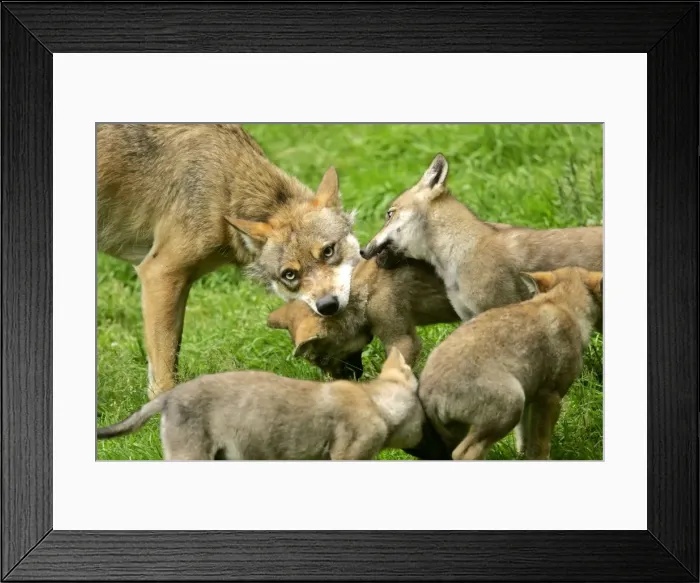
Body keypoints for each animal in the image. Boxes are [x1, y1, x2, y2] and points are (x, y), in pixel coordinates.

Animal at [97, 124, 360, 397]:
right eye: (290, 274)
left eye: (328, 251)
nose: (328, 305)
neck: (226, 189)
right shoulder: (160, 272)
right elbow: (164, 370)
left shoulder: (176, 282)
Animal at [419, 267, 603, 460]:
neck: (560, 303)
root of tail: (427, 393)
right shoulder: (550, 397)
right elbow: (541, 446)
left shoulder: (531, 398)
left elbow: (524, 438)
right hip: (510, 407)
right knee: (465, 453)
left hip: (462, 428)